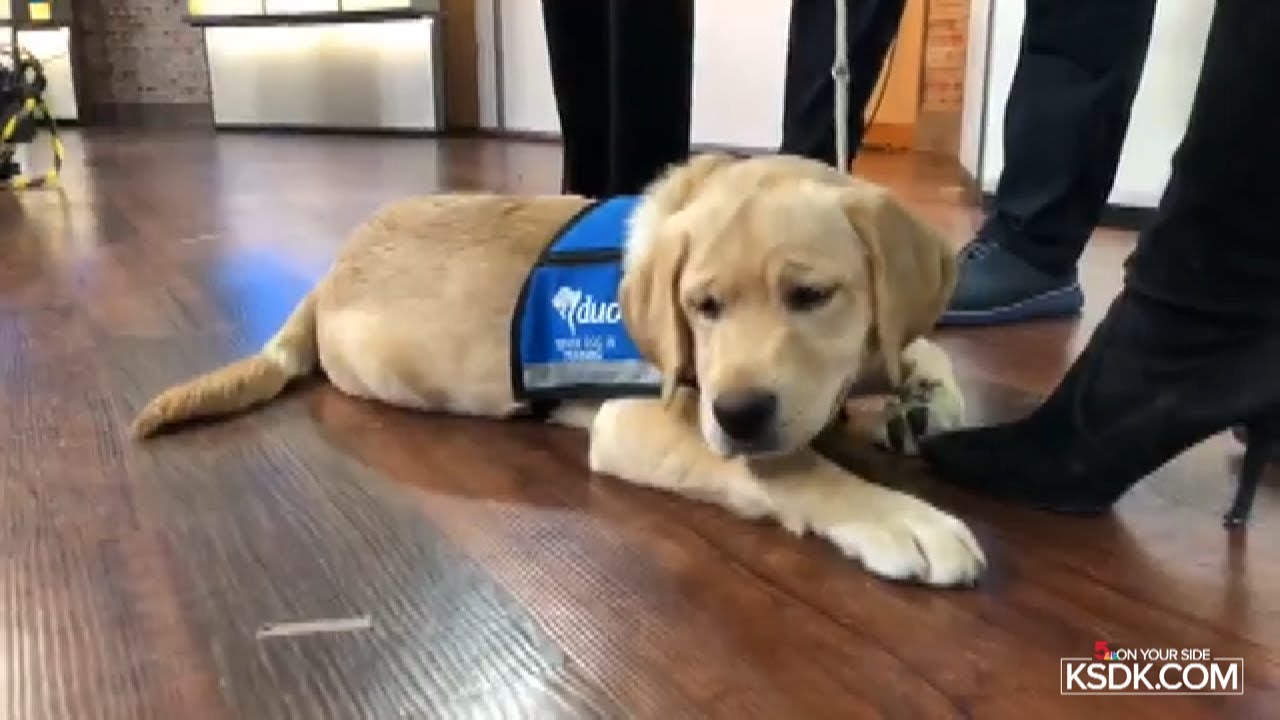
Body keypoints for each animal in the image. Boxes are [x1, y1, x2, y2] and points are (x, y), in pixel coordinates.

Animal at [129, 151, 983, 584]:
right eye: (702, 306)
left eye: (810, 296)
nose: (738, 415)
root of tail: (328, 271)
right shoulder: (634, 417)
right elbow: (790, 466)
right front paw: (895, 515)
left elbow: (922, 344)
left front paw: (926, 397)